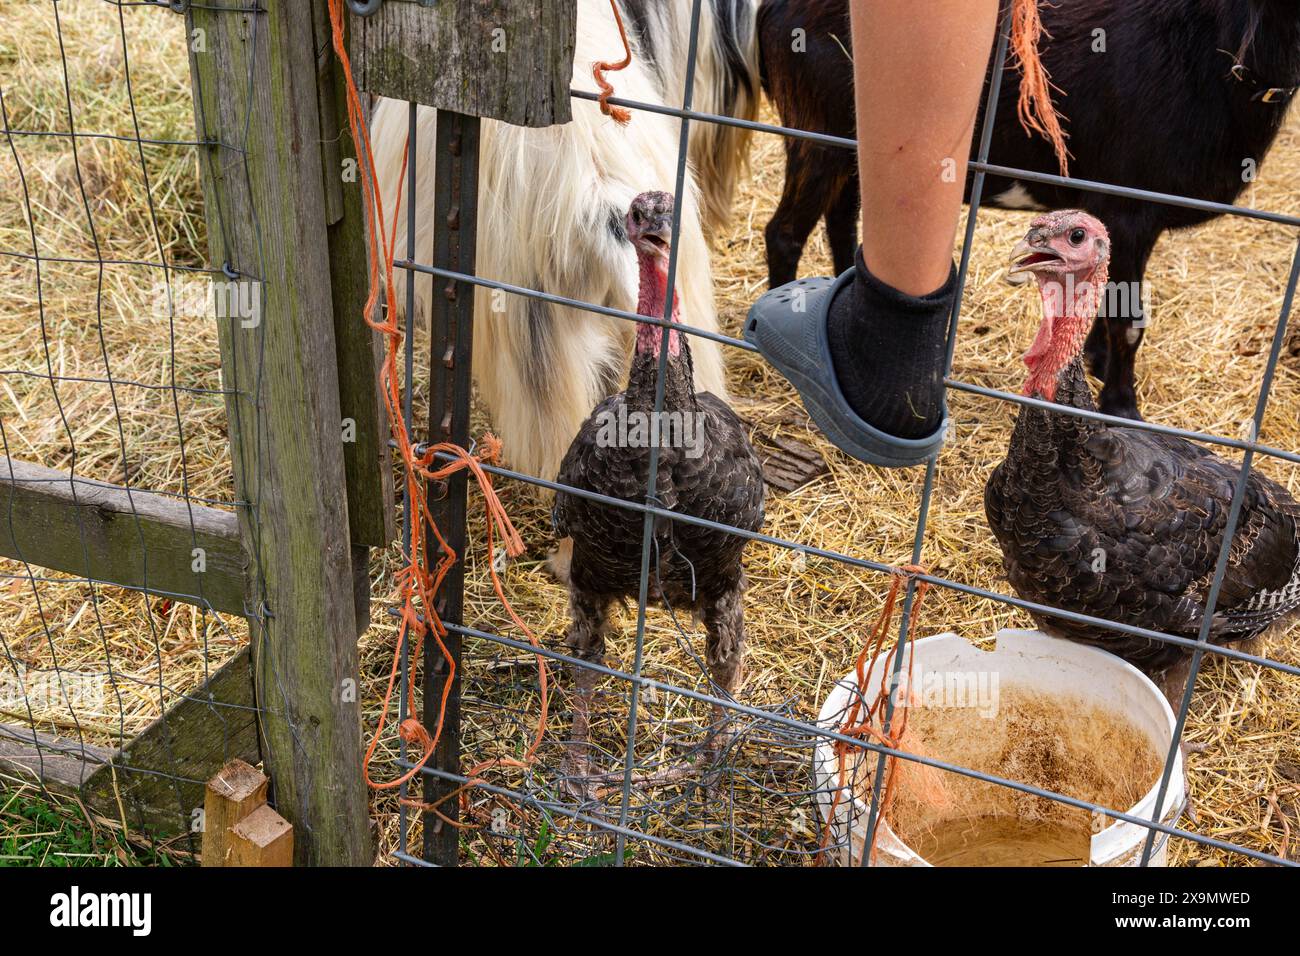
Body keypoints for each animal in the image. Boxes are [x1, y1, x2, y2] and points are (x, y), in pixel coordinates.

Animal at [759, 0, 1300, 418]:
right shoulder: (1128, 208)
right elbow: (1129, 322)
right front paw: (1123, 408)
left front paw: (1095, 363)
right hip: (816, 132)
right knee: (784, 231)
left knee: (841, 219)